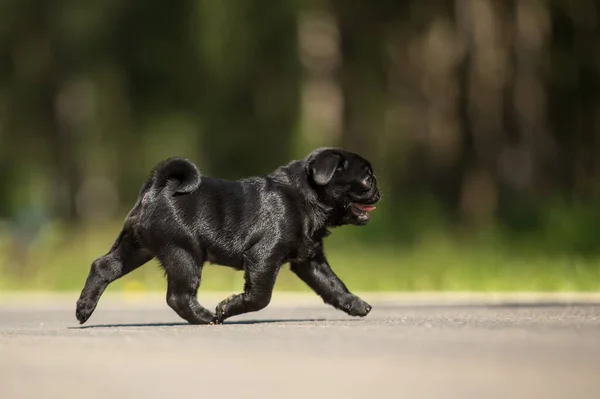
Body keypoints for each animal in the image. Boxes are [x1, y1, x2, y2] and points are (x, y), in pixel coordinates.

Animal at [75, 147, 380, 324]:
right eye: (367, 179)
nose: (379, 191)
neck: (306, 196)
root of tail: (156, 189)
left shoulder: (310, 260)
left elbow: (333, 285)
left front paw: (355, 304)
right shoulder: (264, 257)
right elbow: (260, 297)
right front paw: (227, 307)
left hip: (137, 248)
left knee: (104, 267)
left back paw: (84, 308)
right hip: (184, 254)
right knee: (178, 296)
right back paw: (206, 317)